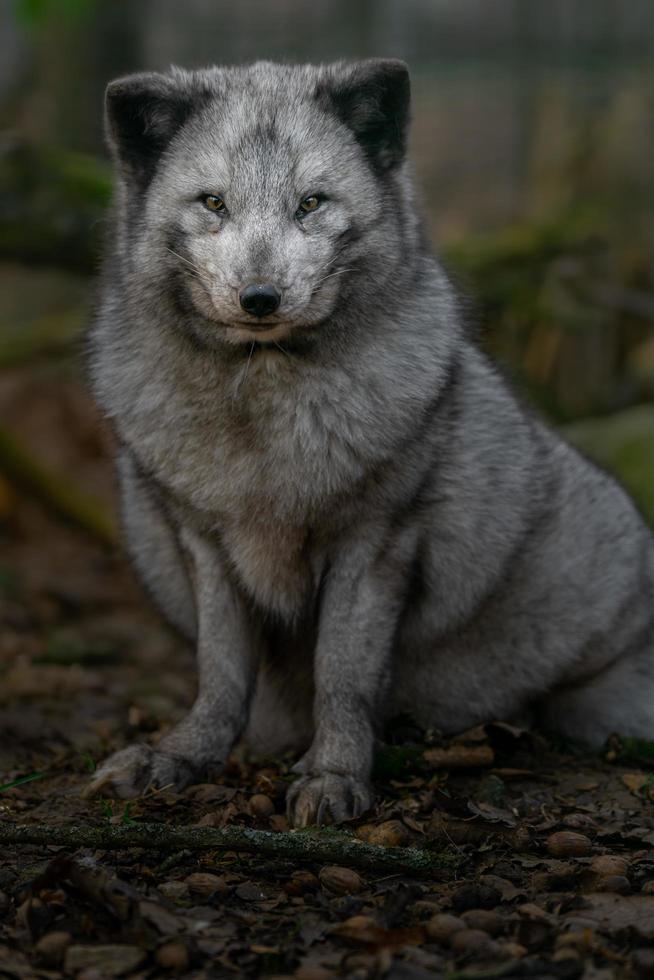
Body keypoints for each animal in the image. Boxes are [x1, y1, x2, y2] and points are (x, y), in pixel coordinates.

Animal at [88, 61, 654, 828]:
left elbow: (343, 675)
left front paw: (333, 775)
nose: (259, 298)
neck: (264, 405)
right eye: (212, 202)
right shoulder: (204, 543)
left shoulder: (375, 540)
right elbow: (220, 675)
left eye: (311, 203)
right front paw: (180, 756)